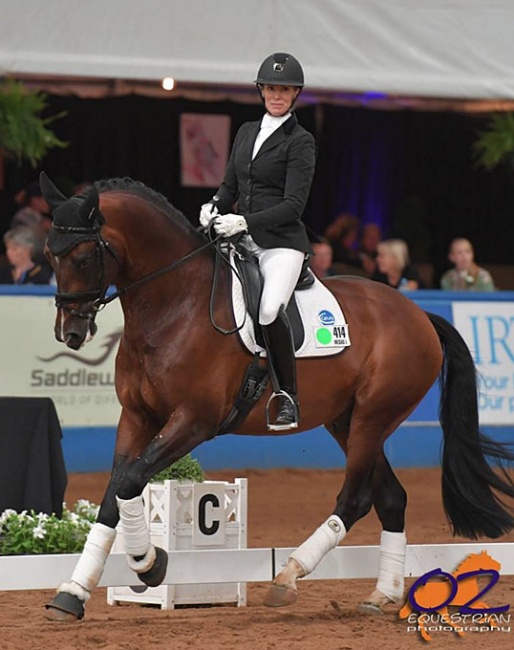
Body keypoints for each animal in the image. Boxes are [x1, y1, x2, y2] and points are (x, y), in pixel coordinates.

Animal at [39, 173, 512, 624]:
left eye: (82, 257)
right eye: (49, 255)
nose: (69, 333)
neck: (174, 303)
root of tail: (419, 314)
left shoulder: (194, 421)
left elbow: (129, 481)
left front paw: (149, 566)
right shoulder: (138, 416)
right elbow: (115, 492)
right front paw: (74, 593)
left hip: (373, 417)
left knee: (355, 500)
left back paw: (288, 576)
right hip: (348, 421)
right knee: (392, 498)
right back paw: (382, 595)